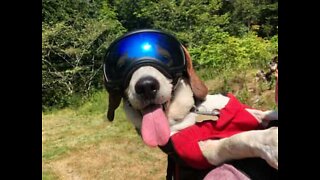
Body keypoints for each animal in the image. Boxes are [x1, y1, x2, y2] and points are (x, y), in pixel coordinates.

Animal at [104, 29, 278, 179]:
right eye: (121, 66)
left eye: (165, 57)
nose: (146, 86)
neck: (192, 112)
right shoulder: (202, 151)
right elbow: (234, 141)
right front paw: (270, 141)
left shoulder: (243, 111)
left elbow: (263, 114)